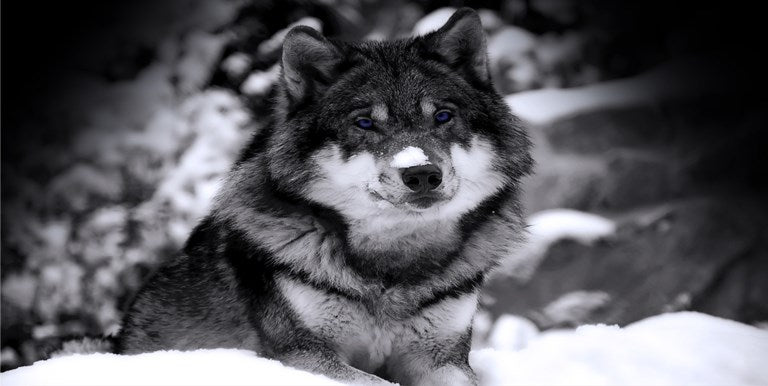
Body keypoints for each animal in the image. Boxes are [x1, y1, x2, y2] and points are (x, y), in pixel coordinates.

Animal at [117, 6, 532, 386]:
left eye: (443, 116)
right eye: (364, 123)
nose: (422, 174)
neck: (392, 266)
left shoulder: (442, 359)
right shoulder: (302, 355)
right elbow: (376, 383)